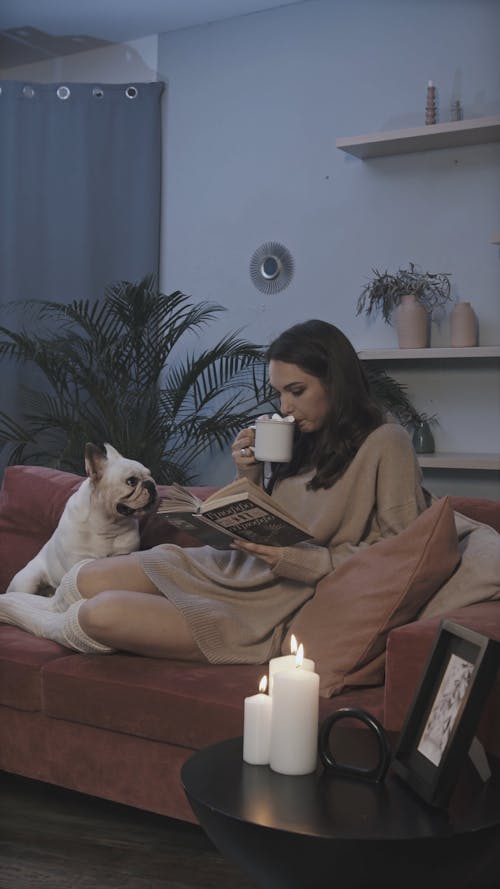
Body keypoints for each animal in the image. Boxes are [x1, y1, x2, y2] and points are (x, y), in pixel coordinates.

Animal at [6, 442, 157, 592]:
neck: (107, 523)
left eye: (150, 475)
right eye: (131, 481)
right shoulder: (78, 561)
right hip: (28, 581)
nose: (151, 484)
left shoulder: (122, 555)